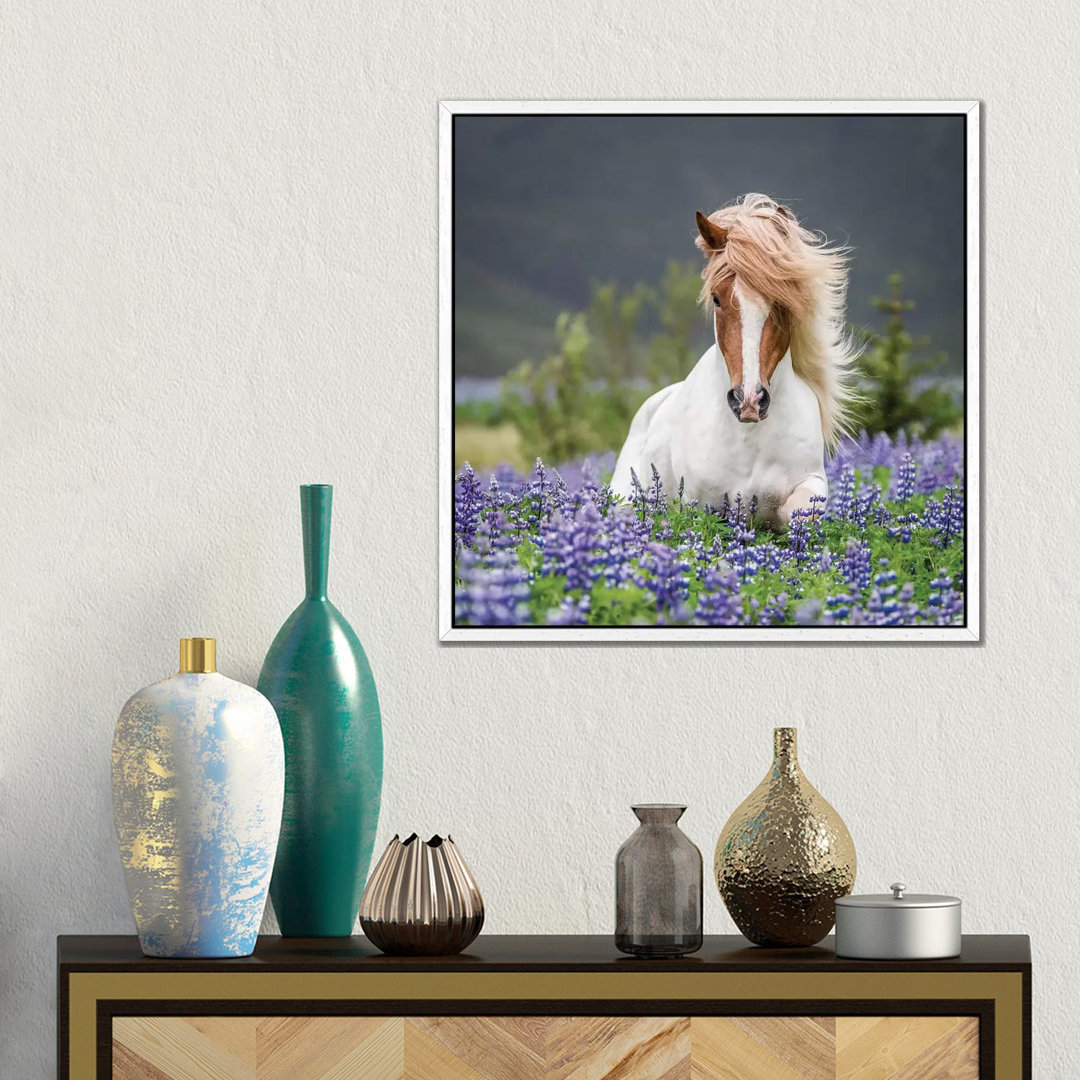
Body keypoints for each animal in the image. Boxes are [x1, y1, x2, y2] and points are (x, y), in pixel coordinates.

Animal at [617, 196, 859, 533]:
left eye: (782, 301)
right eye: (717, 298)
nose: (749, 400)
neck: (749, 438)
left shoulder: (810, 481)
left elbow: (800, 513)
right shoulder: (701, 502)